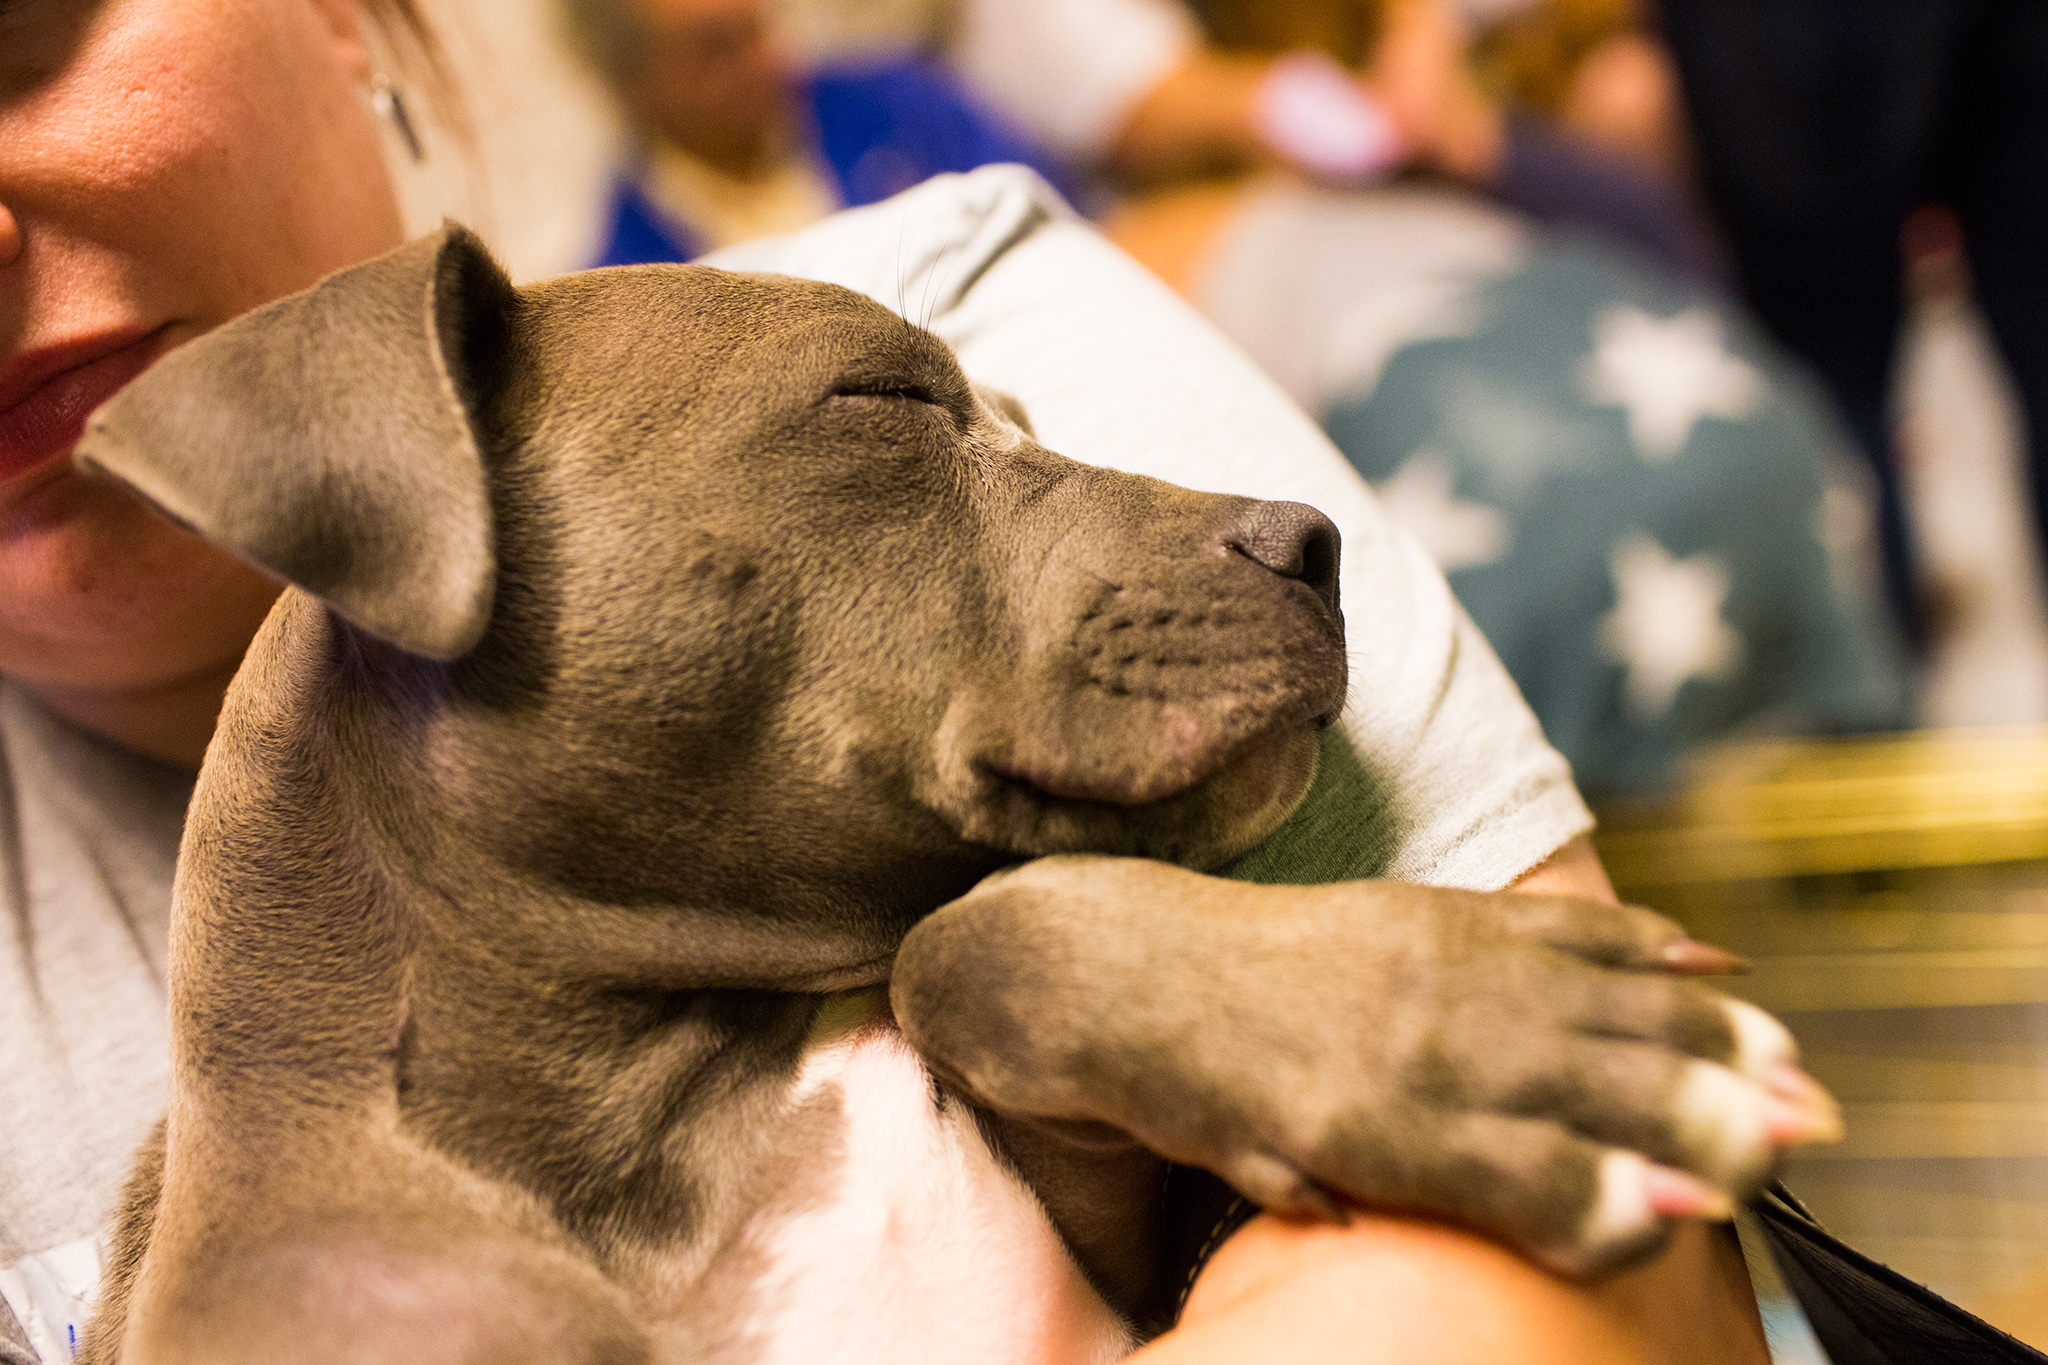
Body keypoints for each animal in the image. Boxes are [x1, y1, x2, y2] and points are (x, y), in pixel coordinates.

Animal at [72, 229, 1826, 1358]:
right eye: (886, 403)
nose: (1316, 540)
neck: (664, 1132)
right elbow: (962, 927)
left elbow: (972, 937)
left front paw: (1502, 1035)